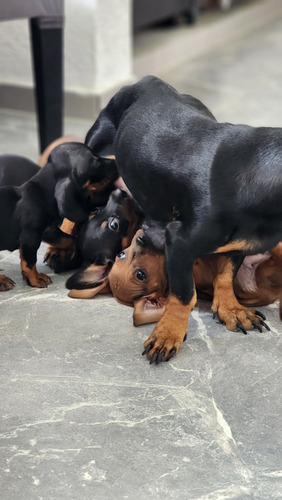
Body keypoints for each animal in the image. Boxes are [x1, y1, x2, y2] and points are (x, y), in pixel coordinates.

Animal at [0, 143, 118, 290]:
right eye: (95, 163)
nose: (116, 160)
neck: (42, 193)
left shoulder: (49, 231)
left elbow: (69, 239)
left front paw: (65, 253)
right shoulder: (30, 237)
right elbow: (29, 262)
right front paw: (35, 279)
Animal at [85, 74, 280, 364]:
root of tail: (148, 80)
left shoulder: (237, 245)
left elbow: (225, 276)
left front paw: (231, 310)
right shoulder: (179, 242)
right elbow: (185, 294)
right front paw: (168, 334)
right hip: (93, 150)